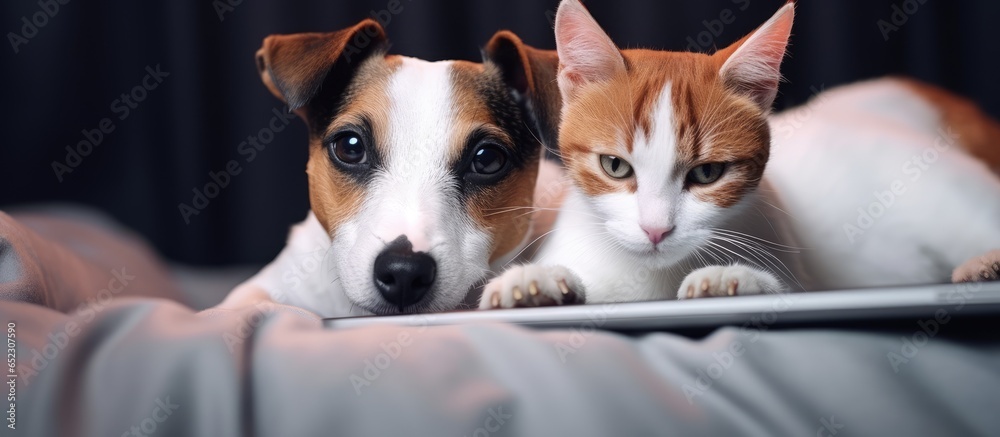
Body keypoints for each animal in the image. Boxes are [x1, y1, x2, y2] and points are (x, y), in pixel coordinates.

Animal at [476, 0, 1000, 308]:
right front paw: (534, 282)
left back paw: (983, 264)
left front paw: (730, 278)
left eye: (708, 173)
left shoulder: (802, 273)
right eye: (615, 166)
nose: (655, 230)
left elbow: (790, 288)